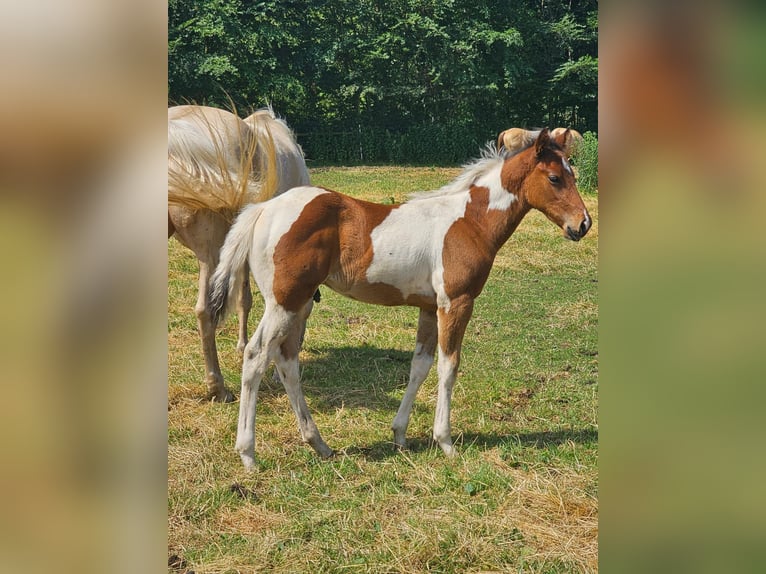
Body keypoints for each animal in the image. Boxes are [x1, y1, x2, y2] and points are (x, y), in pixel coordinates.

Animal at [209, 128, 591, 469]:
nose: (583, 224)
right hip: (283, 302)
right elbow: (448, 366)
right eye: (555, 177)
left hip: (297, 304)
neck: (470, 222)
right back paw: (248, 454)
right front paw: (446, 442)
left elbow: (419, 367)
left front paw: (400, 435)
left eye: (572, 173)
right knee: (256, 356)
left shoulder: (428, 308)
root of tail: (263, 209)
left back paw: (319, 444)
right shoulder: (456, 303)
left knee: (287, 362)